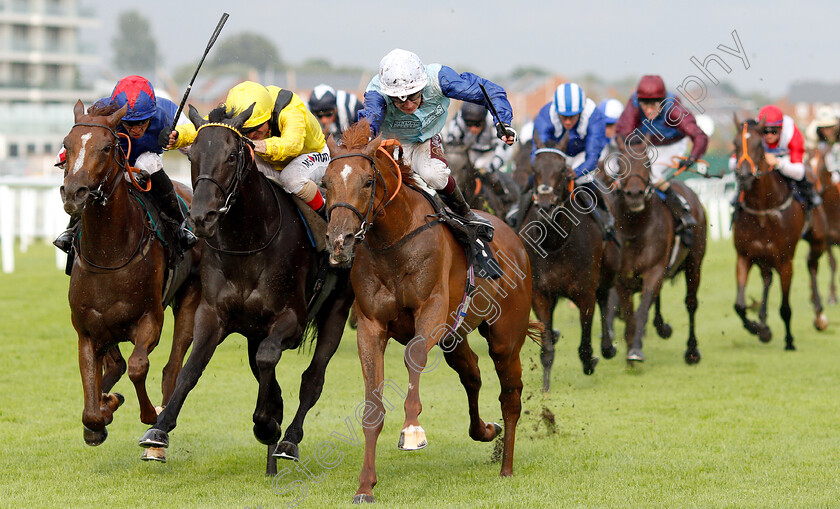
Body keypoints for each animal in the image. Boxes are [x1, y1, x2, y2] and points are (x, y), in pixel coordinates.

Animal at [60, 99, 202, 456]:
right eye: (67, 145)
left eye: (107, 147)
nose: (74, 193)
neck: (109, 256)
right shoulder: (88, 330)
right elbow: (92, 400)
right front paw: (100, 415)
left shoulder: (150, 318)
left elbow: (139, 366)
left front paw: (149, 414)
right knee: (116, 367)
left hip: (190, 298)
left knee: (172, 368)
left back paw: (158, 433)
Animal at [139, 103, 354, 472]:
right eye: (193, 155)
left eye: (230, 156)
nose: (202, 218)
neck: (247, 244)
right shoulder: (212, 314)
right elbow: (190, 369)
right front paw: (159, 428)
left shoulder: (291, 319)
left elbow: (269, 359)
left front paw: (266, 423)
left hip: (336, 311)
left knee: (312, 379)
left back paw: (287, 440)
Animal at [322, 120, 540, 504]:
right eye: (325, 182)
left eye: (368, 181)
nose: (339, 241)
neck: (393, 242)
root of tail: (513, 236)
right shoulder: (370, 326)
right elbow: (372, 407)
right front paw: (365, 486)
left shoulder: (431, 313)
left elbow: (414, 357)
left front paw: (411, 430)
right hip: (455, 337)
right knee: (472, 373)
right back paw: (485, 429)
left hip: (505, 336)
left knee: (510, 395)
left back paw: (506, 466)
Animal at [516, 132, 620, 388]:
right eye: (534, 168)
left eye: (562, 169)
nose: (545, 205)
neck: (554, 243)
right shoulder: (540, 294)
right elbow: (547, 349)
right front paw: (545, 386)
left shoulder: (585, 293)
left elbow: (585, 343)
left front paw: (590, 361)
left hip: (608, 272)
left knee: (605, 299)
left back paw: (607, 346)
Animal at [612, 137, 708, 364]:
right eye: (620, 164)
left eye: (647, 163)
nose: (634, 194)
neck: (634, 228)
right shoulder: (621, 278)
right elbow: (629, 315)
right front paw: (630, 351)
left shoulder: (654, 270)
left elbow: (641, 311)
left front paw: (635, 350)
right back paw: (662, 327)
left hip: (694, 264)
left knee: (691, 303)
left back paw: (692, 351)